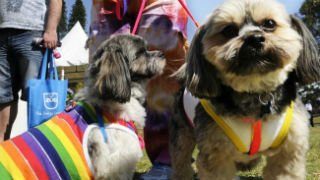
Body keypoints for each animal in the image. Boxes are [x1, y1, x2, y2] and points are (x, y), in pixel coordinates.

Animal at [169, 0, 318, 180]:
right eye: (228, 30)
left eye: (269, 24)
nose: (254, 38)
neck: (256, 93)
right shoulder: (216, 154)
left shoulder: (289, 151)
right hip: (182, 132)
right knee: (181, 160)